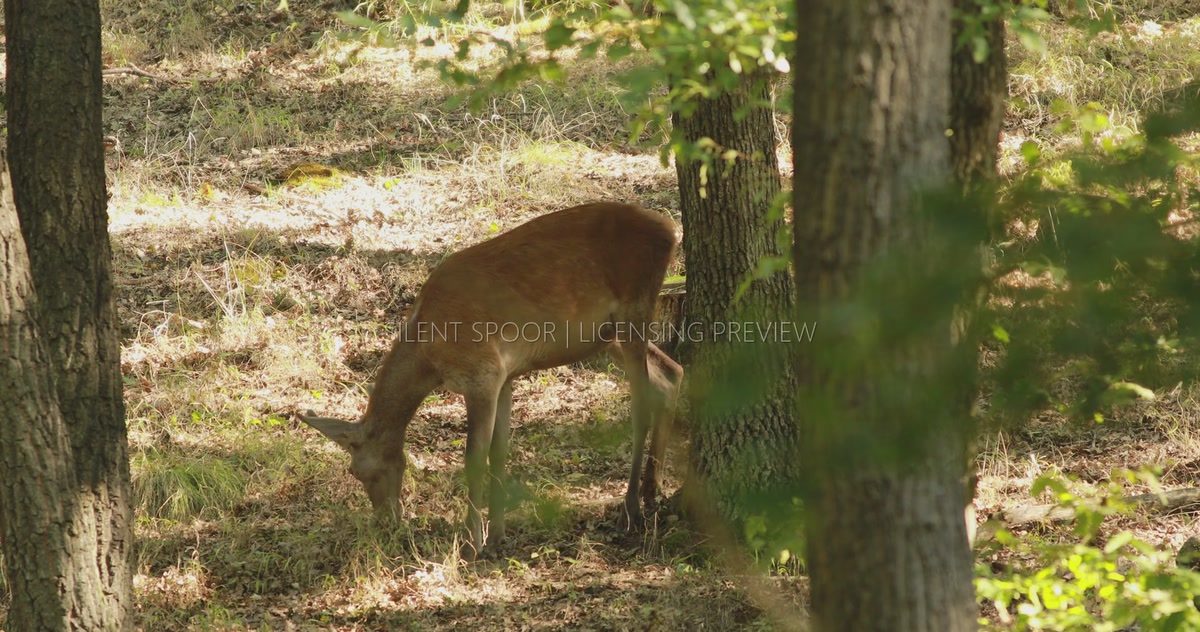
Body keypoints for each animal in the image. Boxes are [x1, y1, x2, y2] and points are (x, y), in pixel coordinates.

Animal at [297, 201, 684, 560]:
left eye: (358, 471)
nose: (386, 522)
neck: (430, 355)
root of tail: (670, 230)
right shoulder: (505, 375)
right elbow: (499, 452)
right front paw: (496, 538)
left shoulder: (482, 373)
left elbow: (474, 458)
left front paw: (471, 544)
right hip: (607, 335)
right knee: (671, 373)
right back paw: (652, 491)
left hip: (634, 310)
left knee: (641, 405)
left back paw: (631, 509)